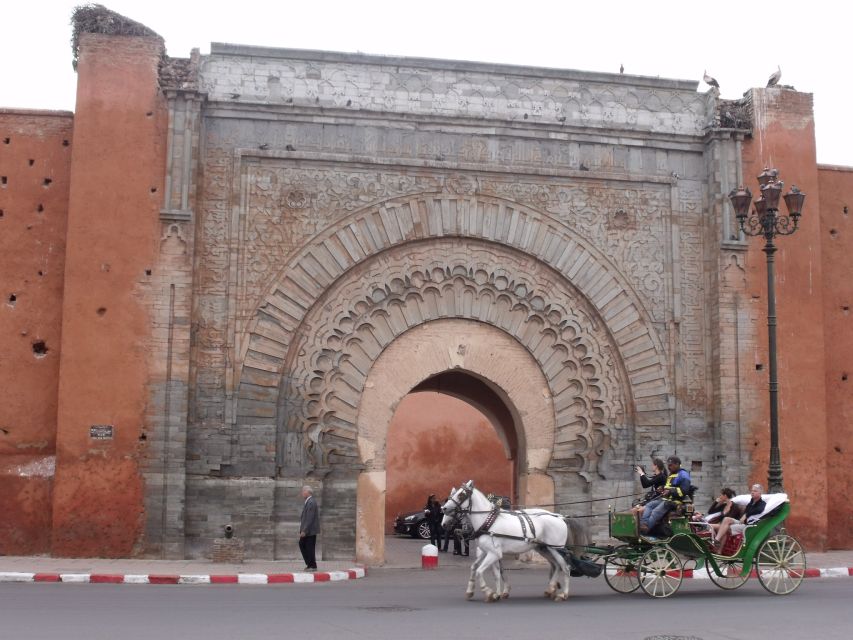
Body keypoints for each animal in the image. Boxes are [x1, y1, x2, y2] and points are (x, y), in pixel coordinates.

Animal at [440, 482, 584, 604]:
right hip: (544, 549)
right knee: (556, 565)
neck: (488, 522)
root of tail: (560, 517)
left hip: (556, 548)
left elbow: (481, 571)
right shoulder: (487, 552)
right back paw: (551, 589)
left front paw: (489, 592)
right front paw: (484, 592)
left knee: (565, 567)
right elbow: (484, 570)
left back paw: (563, 594)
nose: (444, 508)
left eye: (461, 495)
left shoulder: (494, 553)